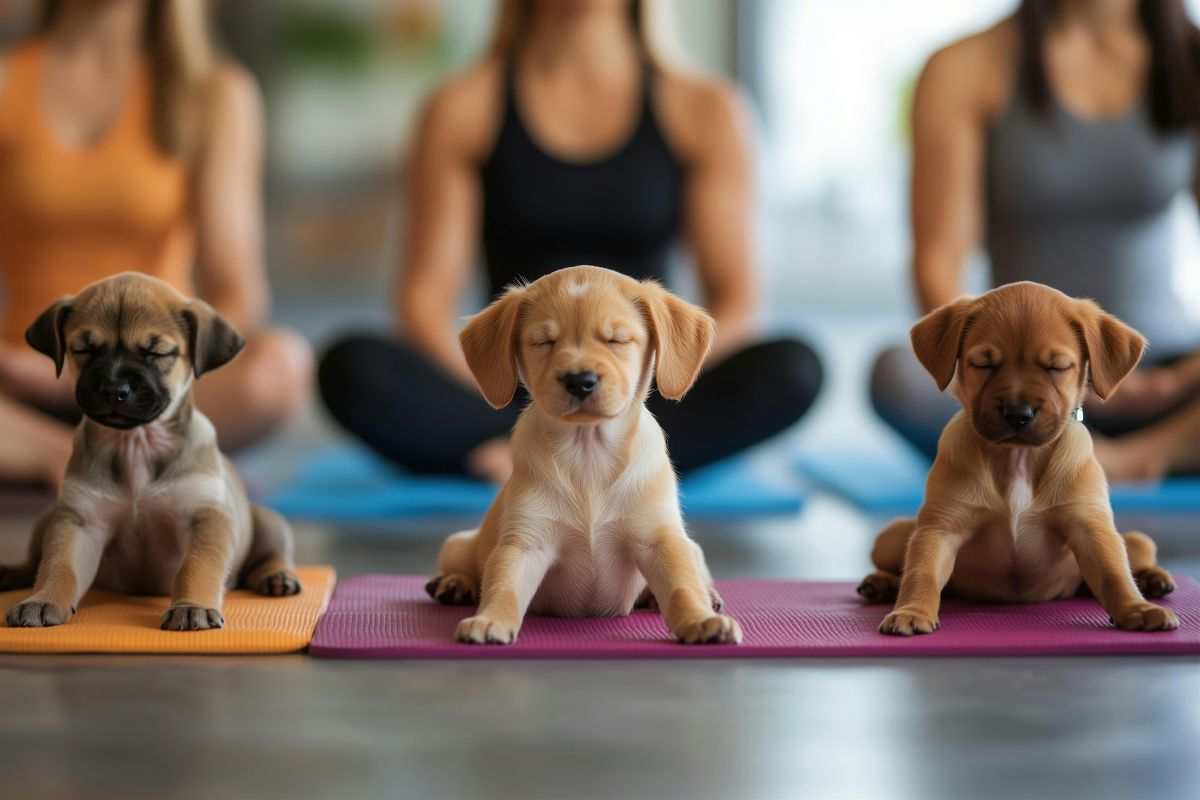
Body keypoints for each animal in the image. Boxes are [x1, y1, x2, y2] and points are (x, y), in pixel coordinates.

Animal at [1, 273, 300, 633]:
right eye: (83, 349)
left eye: (156, 352)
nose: (114, 390)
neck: (136, 445)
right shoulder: (80, 522)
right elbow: (60, 565)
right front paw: (43, 599)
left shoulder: (207, 518)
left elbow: (197, 565)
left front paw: (191, 607)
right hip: (48, 515)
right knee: (35, 559)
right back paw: (14, 573)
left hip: (267, 521)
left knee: (272, 553)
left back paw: (276, 576)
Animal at [422, 266, 739, 647]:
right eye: (543, 342)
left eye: (617, 340)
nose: (579, 381)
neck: (589, 453)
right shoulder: (525, 543)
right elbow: (502, 586)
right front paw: (489, 618)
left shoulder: (660, 539)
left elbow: (682, 586)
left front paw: (699, 619)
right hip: (457, 544)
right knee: (467, 568)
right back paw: (456, 583)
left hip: (691, 547)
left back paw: (705, 597)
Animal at [859, 281, 1176, 638]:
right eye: (983, 364)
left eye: (1057, 366)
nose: (1017, 414)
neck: (1017, 459)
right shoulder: (939, 527)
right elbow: (920, 573)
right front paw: (911, 610)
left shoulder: (1091, 528)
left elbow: (1114, 574)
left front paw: (1136, 608)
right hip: (893, 535)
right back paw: (881, 583)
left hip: (1136, 540)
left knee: (1131, 560)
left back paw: (1153, 580)